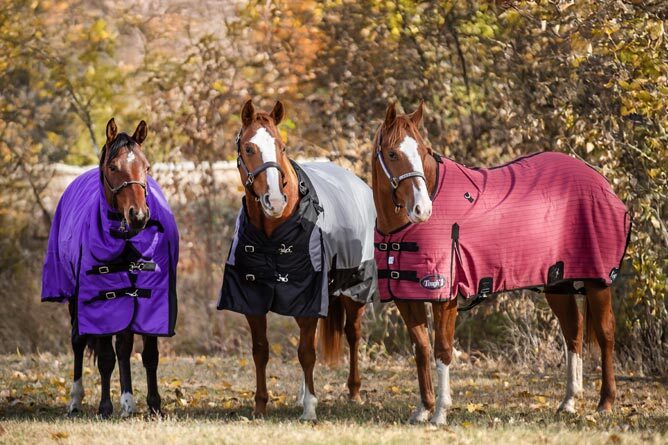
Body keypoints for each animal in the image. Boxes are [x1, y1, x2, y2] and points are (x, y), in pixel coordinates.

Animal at [41, 118, 179, 418]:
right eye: (113, 167)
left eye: (146, 167)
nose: (138, 215)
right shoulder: (100, 299)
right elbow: (105, 357)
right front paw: (105, 407)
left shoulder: (152, 297)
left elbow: (148, 355)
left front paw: (153, 405)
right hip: (75, 299)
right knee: (78, 341)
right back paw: (76, 399)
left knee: (124, 346)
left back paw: (128, 402)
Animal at [218, 100, 377, 421]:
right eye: (249, 148)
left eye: (281, 145)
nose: (275, 201)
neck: (274, 232)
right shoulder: (254, 299)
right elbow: (261, 350)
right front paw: (260, 406)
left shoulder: (309, 296)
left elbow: (306, 353)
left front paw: (310, 410)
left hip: (354, 289)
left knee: (352, 335)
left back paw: (353, 392)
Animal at [371, 101, 631, 425]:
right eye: (393, 154)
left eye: (424, 150)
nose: (422, 209)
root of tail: (601, 181)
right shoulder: (407, 296)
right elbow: (421, 348)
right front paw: (423, 410)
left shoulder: (445, 296)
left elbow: (442, 350)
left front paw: (440, 413)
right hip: (557, 283)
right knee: (573, 331)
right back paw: (569, 401)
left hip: (597, 280)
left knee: (605, 333)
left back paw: (605, 402)